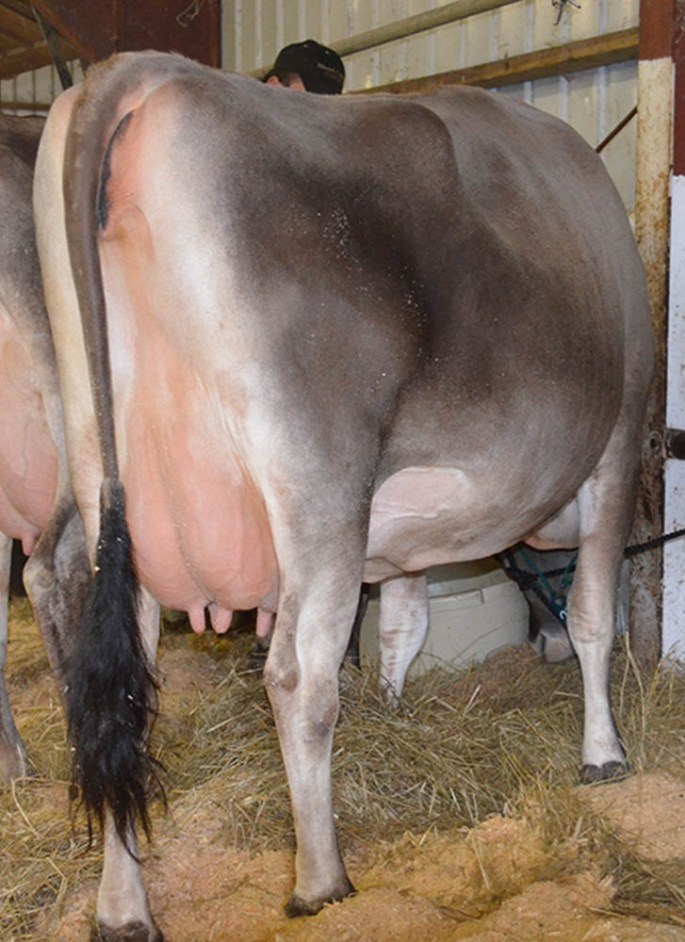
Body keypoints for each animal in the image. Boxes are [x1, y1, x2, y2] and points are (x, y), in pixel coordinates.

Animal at [33, 51, 653, 942]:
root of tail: (147, 70)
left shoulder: (409, 533)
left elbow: (402, 623)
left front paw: (393, 708)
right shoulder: (613, 450)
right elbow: (596, 617)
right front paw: (602, 753)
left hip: (101, 474)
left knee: (114, 689)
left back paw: (122, 905)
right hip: (317, 480)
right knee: (297, 676)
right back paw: (321, 878)